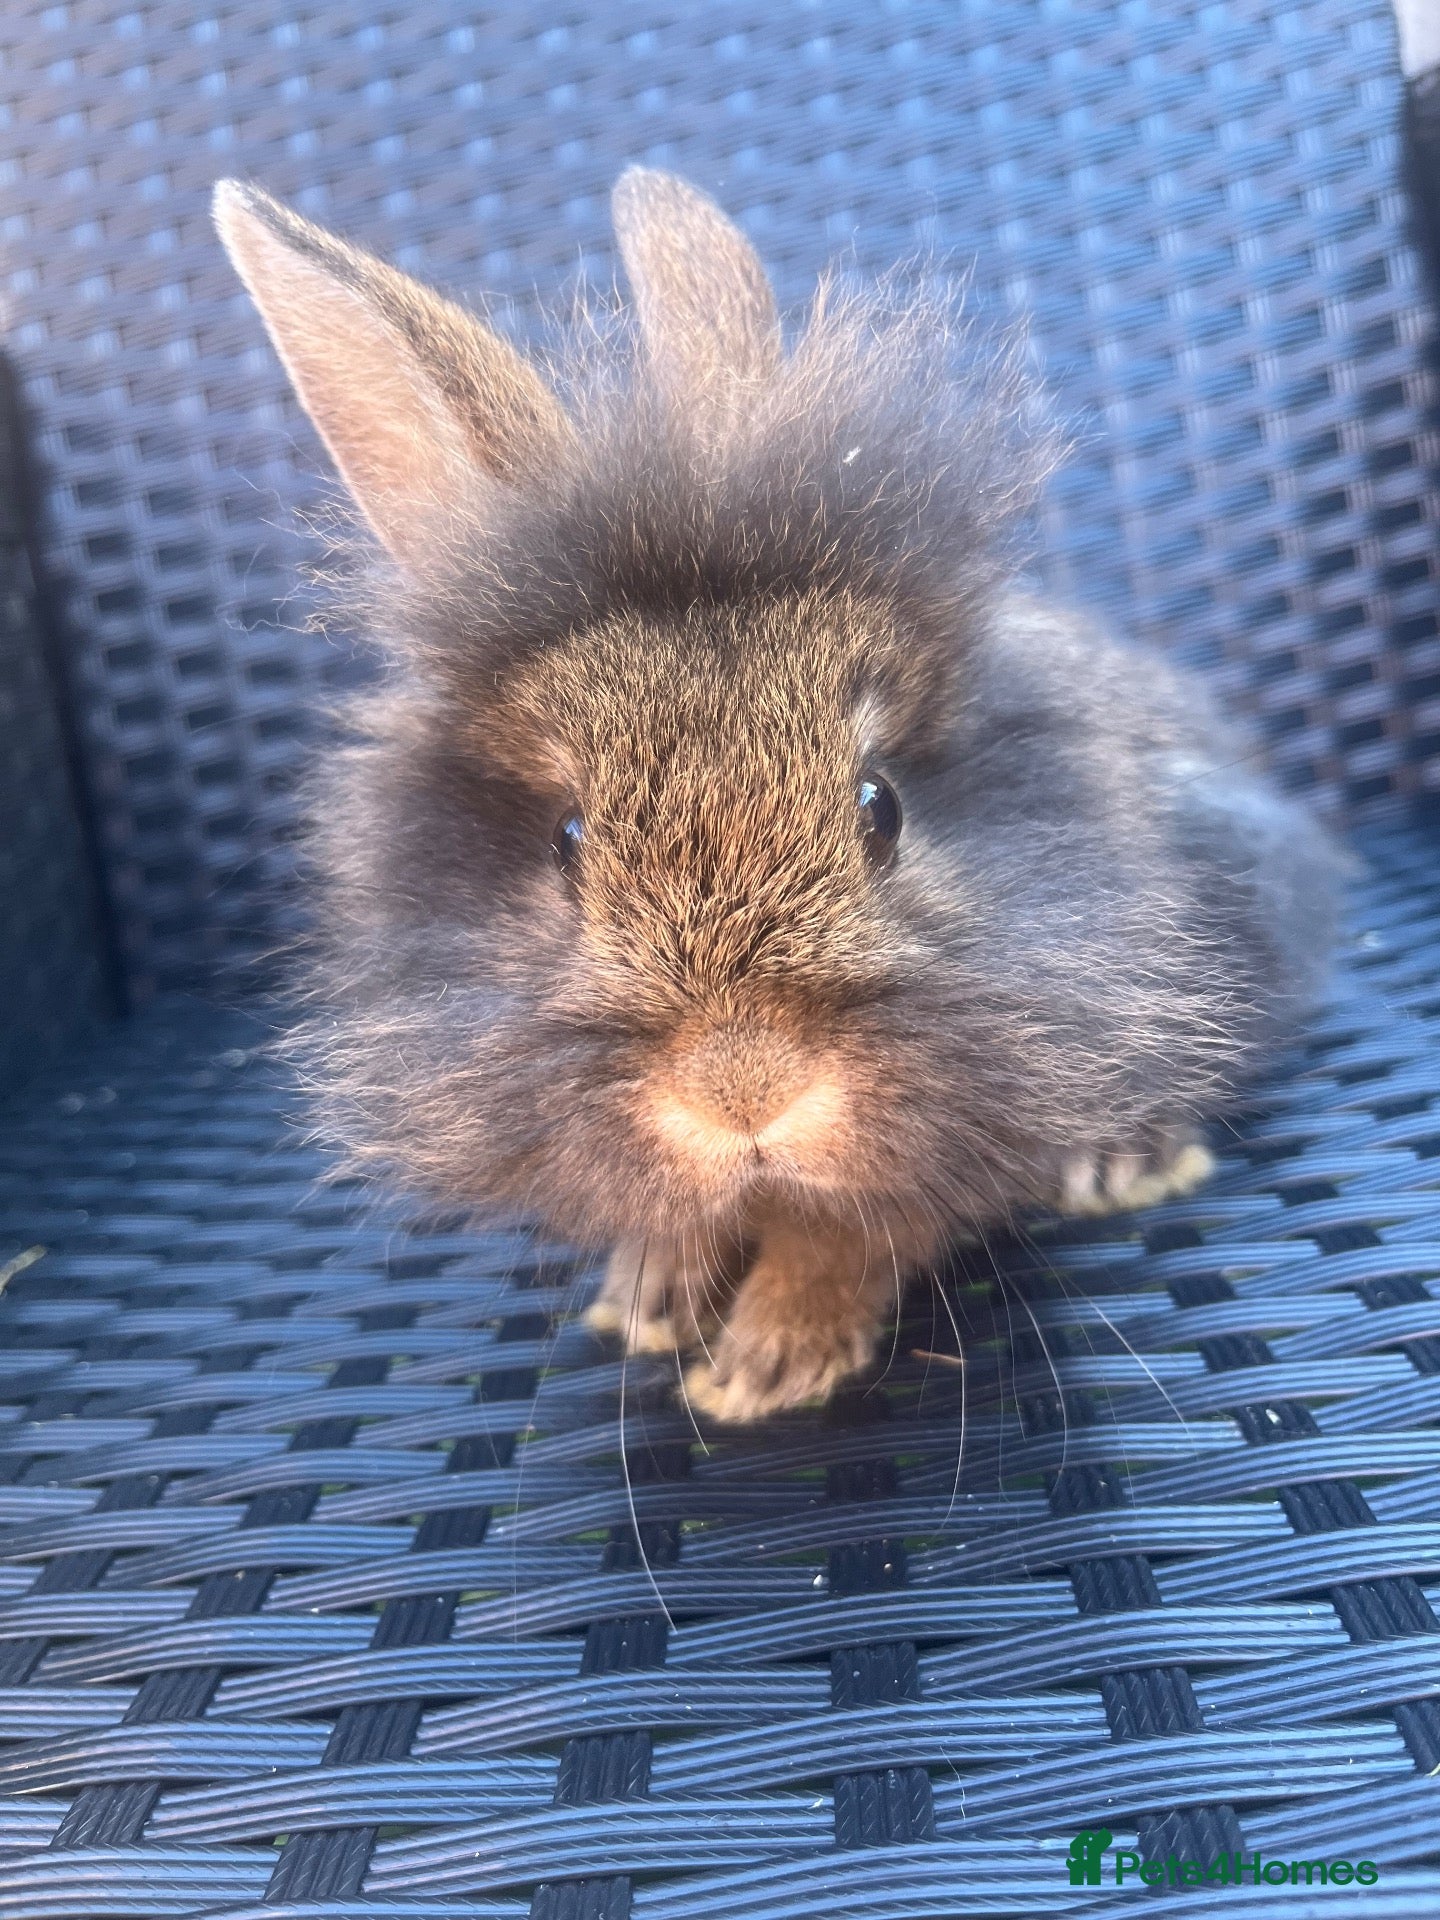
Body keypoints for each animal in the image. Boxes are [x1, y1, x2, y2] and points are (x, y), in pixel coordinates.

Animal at [214, 168, 1339, 1422]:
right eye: (567, 839)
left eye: (880, 806)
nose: (744, 1092)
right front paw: (647, 1299)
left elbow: (858, 1233)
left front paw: (766, 1366)